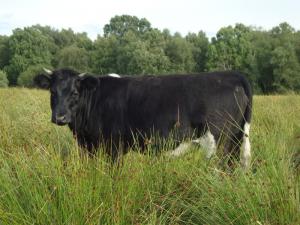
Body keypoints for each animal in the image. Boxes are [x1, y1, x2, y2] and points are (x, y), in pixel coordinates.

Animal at [34, 69, 252, 168]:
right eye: (52, 92)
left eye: (75, 93)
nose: (60, 116)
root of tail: (230, 74)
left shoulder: (114, 146)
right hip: (235, 138)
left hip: (219, 141)